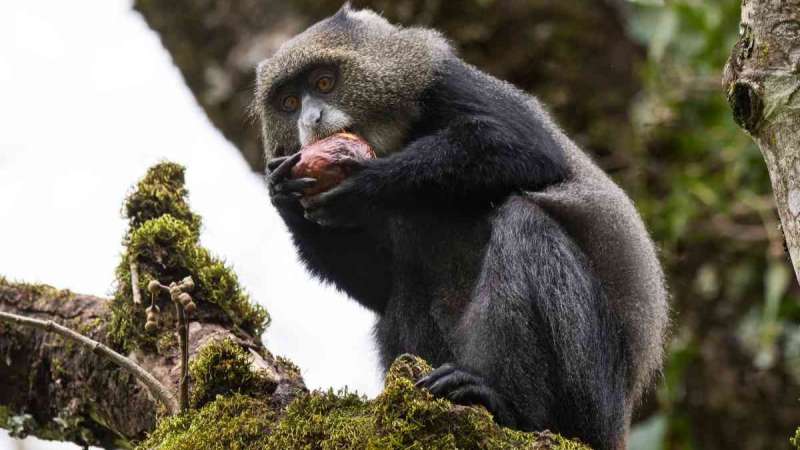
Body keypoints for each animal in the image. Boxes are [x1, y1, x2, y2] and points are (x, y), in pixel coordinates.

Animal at [254, 5, 668, 450]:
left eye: (324, 82)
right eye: (289, 102)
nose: (311, 118)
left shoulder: (446, 81)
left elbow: (530, 147)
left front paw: (364, 181)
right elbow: (377, 285)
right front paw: (281, 193)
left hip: (593, 397)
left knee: (524, 224)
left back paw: (503, 404)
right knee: (405, 286)